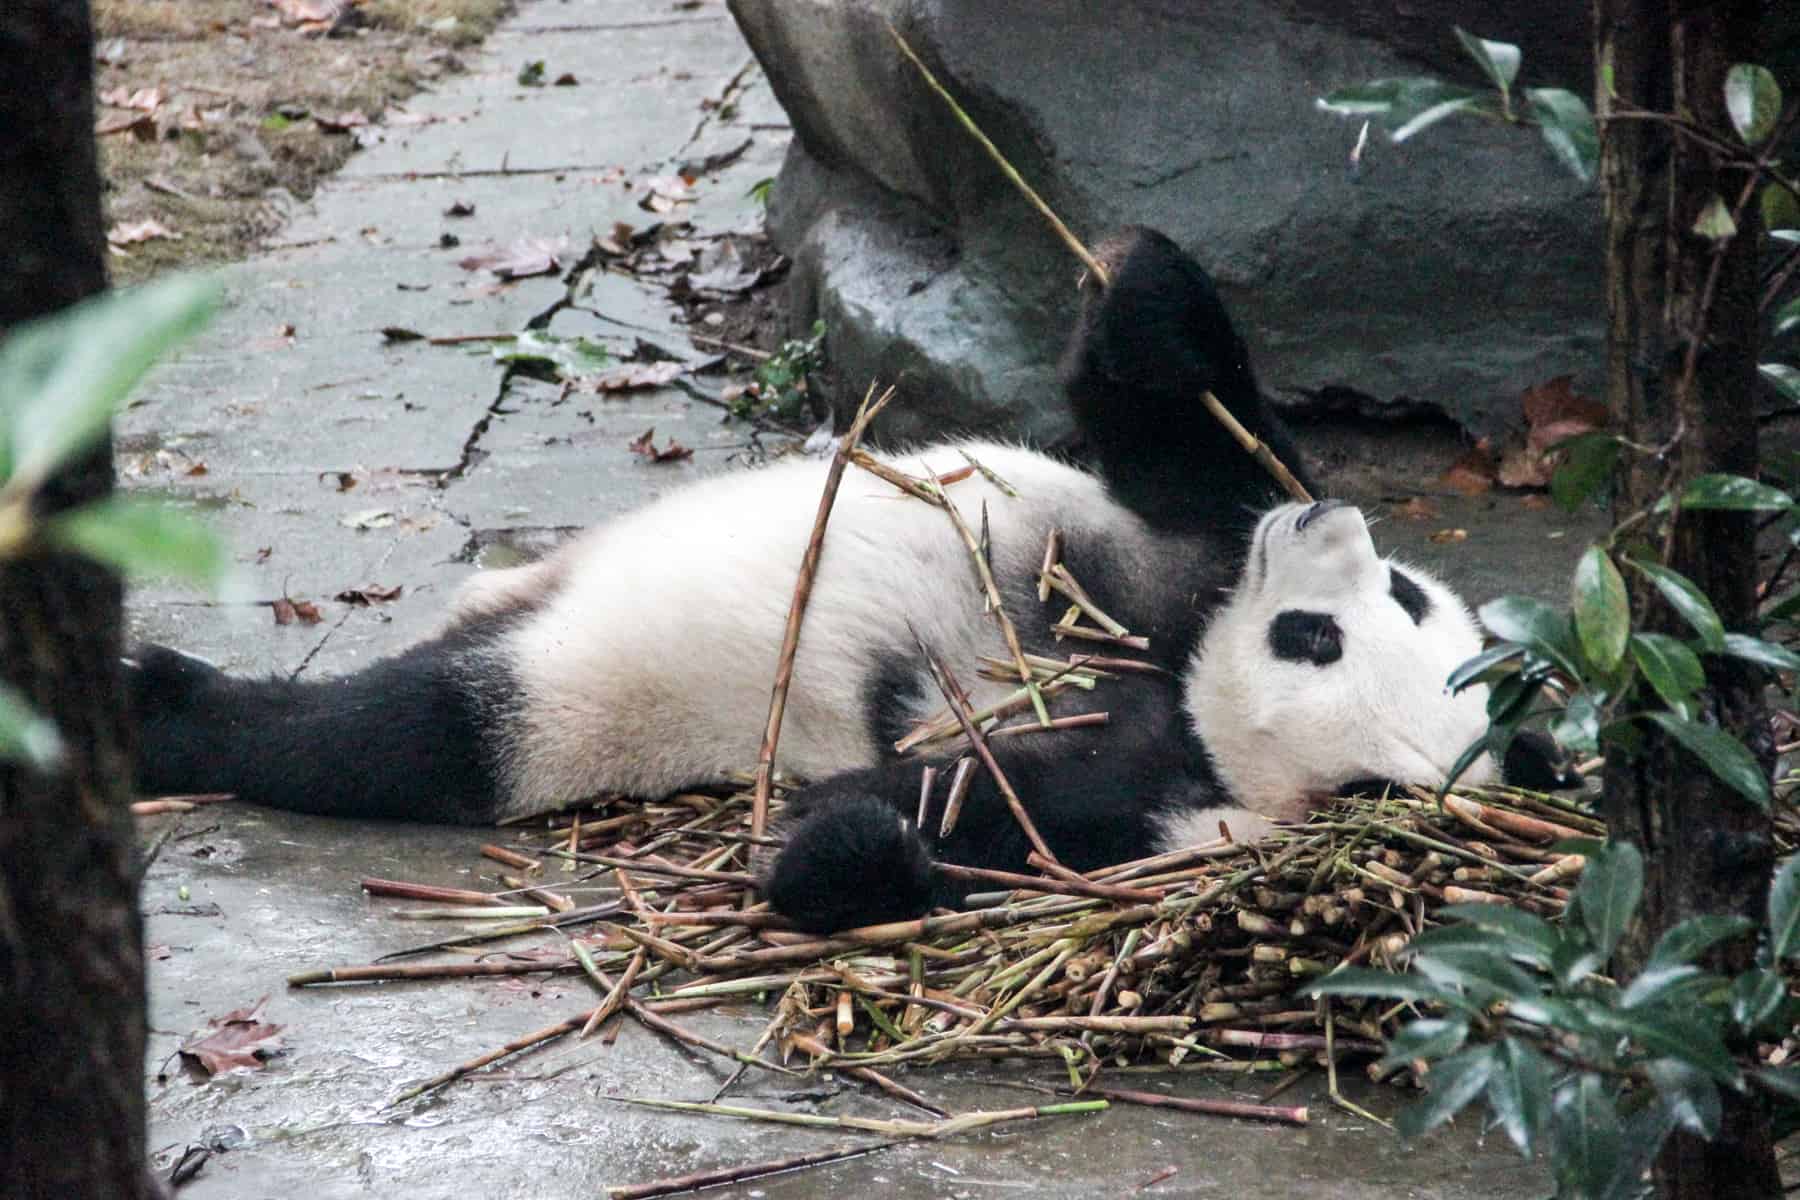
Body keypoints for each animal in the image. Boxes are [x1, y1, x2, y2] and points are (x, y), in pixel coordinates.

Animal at [126, 227, 1548, 935]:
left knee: (406, 731)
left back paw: (170, 707)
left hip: (575, 697)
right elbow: (1190, 443)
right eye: (1398, 603)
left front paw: (843, 852)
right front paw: (1144, 288)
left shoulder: (1153, 796)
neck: (1183, 695)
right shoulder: (1157, 564)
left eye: (1316, 639)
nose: (1334, 528)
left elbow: (973, 821)